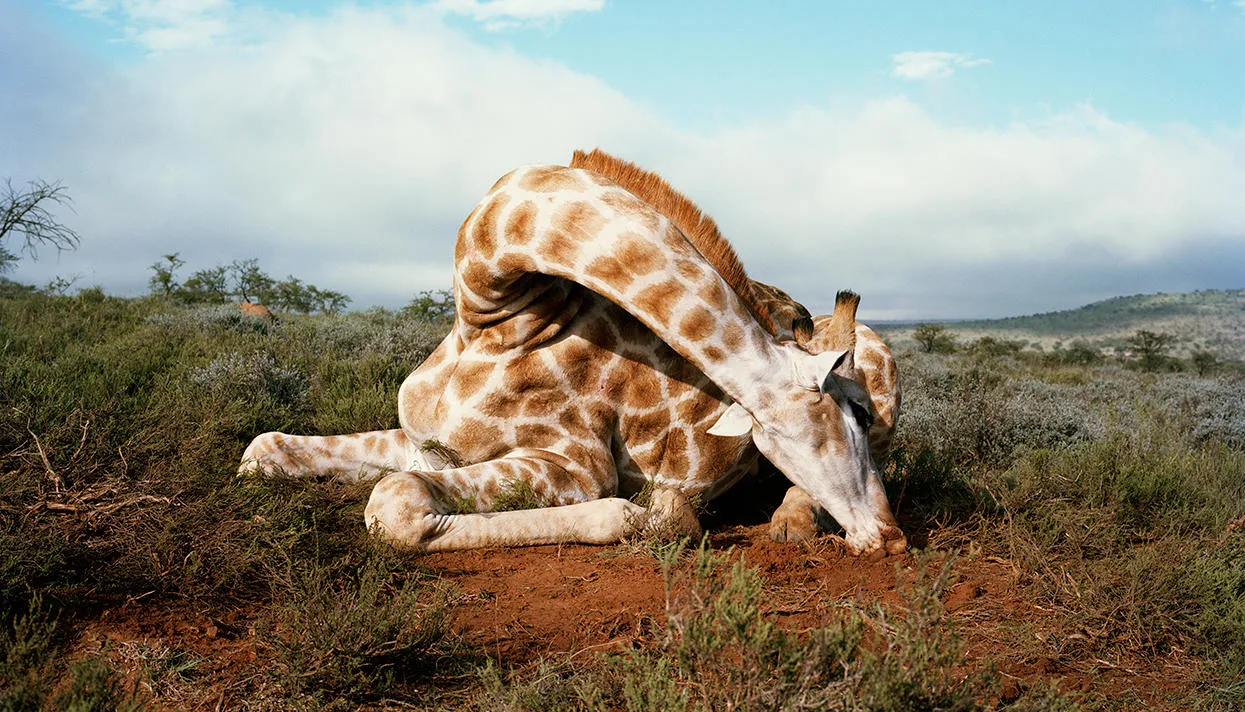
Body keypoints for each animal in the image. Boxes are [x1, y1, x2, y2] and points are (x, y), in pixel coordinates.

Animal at [237, 154, 911, 555]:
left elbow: (395, 503)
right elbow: (263, 450)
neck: (491, 317)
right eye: (850, 416)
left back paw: (792, 526)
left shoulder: (575, 466)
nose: (892, 536)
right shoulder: (423, 441)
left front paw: (657, 515)